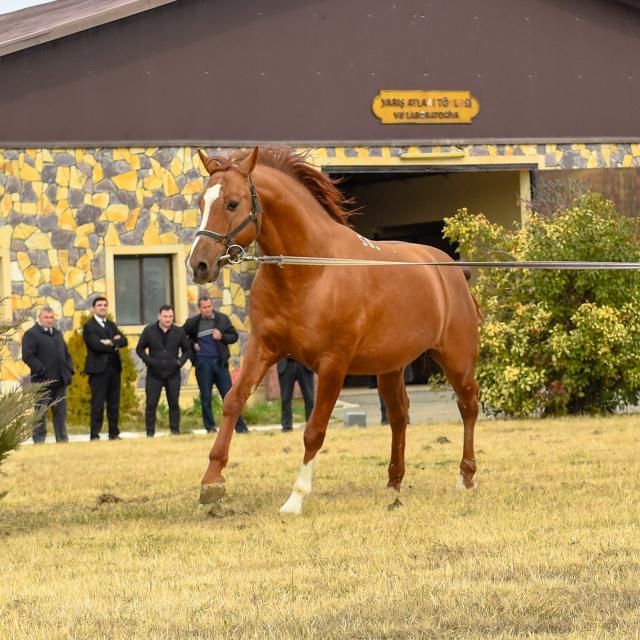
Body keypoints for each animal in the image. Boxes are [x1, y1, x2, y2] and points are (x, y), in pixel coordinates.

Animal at [188, 146, 481, 514]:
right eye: (201, 202)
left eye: (232, 203)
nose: (199, 265)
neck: (311, 270)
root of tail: (453, 271)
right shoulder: (262, 347)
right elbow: (233, 402)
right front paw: (211, 481)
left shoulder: (332, 365)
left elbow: (314, 430)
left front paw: (296, 498)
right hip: (390, 367)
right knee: (399, 415)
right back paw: (393, 484)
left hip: (457, 359)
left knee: (468, 406)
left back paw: (466, 478)